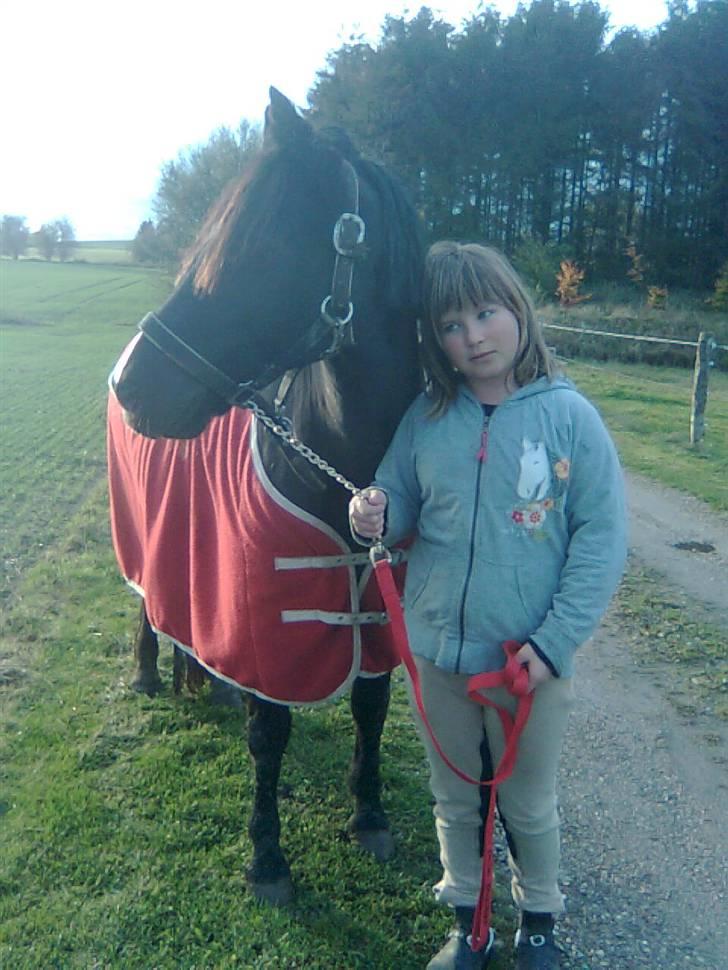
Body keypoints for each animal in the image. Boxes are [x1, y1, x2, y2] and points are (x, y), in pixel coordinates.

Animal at [108, 87, 423, 906]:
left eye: (260, 248)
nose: (132, 385)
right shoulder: (265, 612)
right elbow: (269, 731)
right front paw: (268, 858)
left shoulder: (374, 603)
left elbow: (371, 705)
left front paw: (369, 815)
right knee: (146, 598)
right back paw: (150, 673)